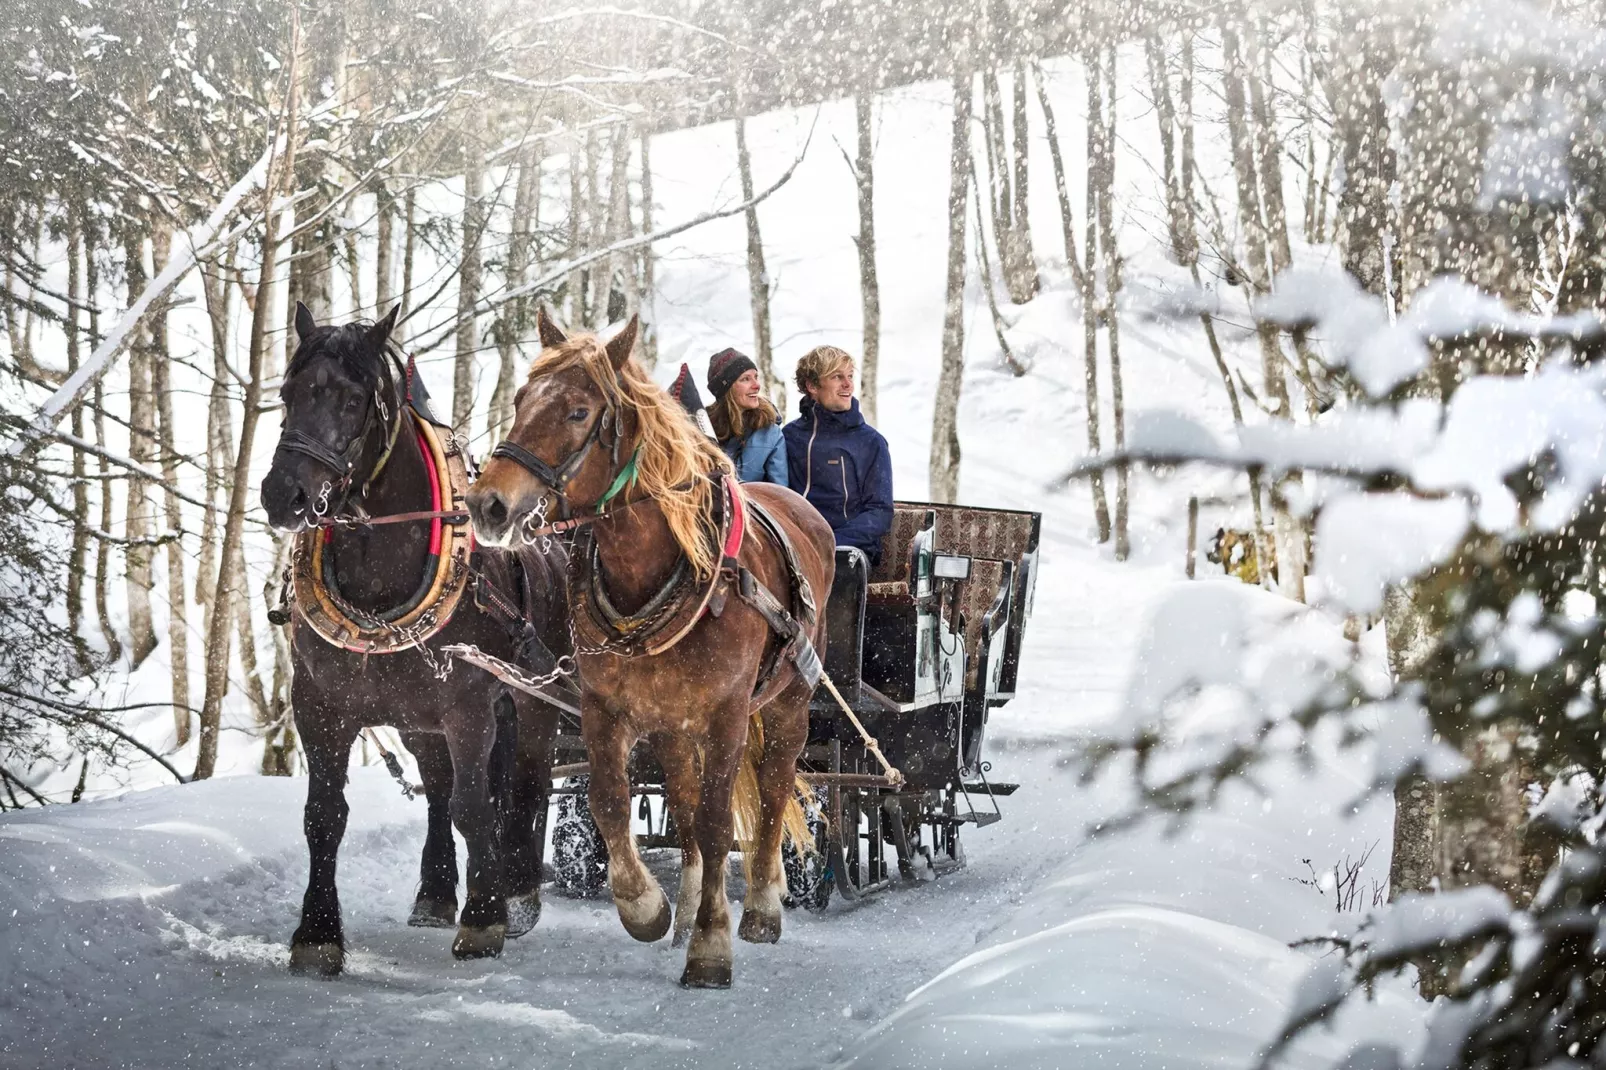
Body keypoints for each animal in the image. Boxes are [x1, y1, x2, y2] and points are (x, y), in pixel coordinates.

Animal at [258, 302, 571, 976]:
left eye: (353, 401)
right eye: (288, 393)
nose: (283, 495)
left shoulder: (470, 707)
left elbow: (476, 807)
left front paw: (485, 920)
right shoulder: (320, 704)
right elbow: (325, 815)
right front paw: (317, 934)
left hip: (532, 699)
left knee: (525, 782)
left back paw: (520, 892)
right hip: (415, 718)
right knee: (438, 790)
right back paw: (435, 892)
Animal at [465, 308, 835, 983]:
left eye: (579, 412)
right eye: (522, 400)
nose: (487, 503)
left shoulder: (727, 714)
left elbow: (718, 823)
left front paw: (712, 945)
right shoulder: (605, 708)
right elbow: (613, 802)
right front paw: (647, 907)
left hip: (788, 700)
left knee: (773, 789)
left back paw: (762, 905)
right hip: (672, 724)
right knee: (684, 806)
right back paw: (686, 906)